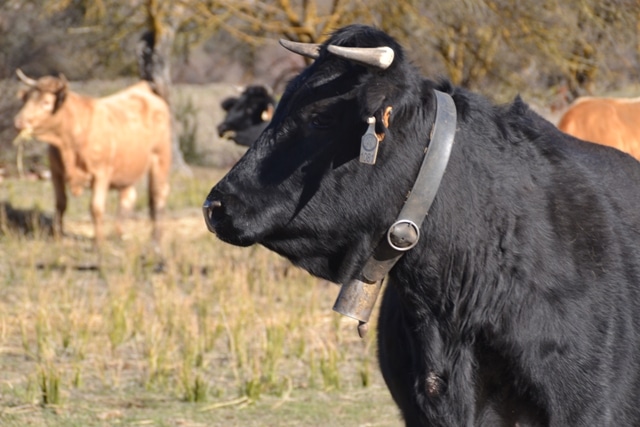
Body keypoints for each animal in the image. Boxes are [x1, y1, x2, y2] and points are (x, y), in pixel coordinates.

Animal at [13, 70, 171, 244]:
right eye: (27, 99)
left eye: (46, 102)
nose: (18, 122)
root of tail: (144, 88)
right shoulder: (56, 173)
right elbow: (61, 203)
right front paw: (58, 236)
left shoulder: (101, 173)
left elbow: (96, 208)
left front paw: (99, 243)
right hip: (128, 167)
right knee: (128, 197)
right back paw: (118, 234)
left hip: (160, 157)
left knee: (158, 195)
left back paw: (155, 239)